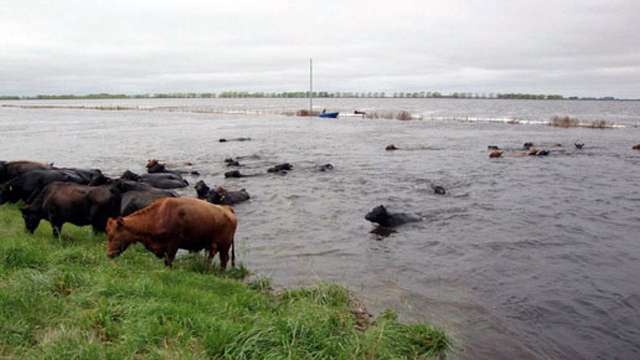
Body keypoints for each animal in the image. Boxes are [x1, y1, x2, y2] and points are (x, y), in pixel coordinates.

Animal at [106, 197, 239, 270]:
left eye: (112, 236)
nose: (108, 255)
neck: (157, 216)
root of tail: (227, 209)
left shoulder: (174, 244)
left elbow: (169, 261)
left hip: (224, 245)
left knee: (223, 260)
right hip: (214, 246)